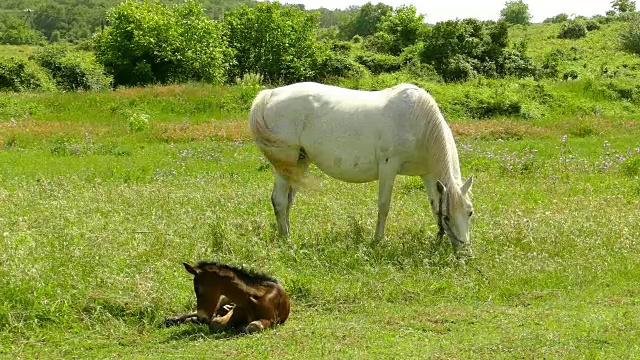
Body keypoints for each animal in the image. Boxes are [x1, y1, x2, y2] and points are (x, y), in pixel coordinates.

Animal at [250, 81, 476, 253]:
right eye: (447, 216)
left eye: (470, 212)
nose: (464, 252)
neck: (418, 124)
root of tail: (270, 94)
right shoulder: (388, 168)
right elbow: (384, 206)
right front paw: (378, 241)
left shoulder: (427, 175)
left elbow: (433, 204)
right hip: (285, 164)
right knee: (279, 200)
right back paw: (286, 239)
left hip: (300, 162)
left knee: (288, 200)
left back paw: (287, 232)